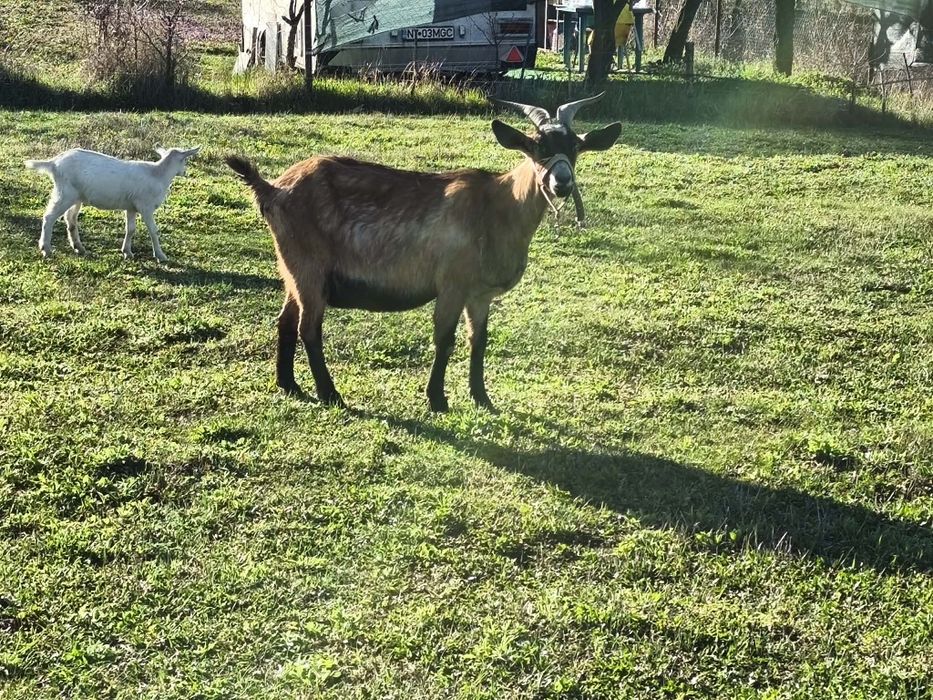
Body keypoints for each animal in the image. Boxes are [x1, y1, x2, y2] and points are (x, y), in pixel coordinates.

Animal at [24, 147, 200, 262]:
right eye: (184, 160)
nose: (185, 172)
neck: (158, 174)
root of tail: (54, 163)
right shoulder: (145, 206)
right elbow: (153, 231)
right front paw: (161, 256)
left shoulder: (131, 206)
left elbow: (131, 229)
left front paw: (127, 252)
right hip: (65, 193)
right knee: (49, 217)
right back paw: (46, 249)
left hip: (75, 196)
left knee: (70, 219)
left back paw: (78, 247)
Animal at [226, 94, 620, 412]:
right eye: (537, 146)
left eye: (575, 147)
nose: (561, 182)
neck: (497, 206)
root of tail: (273, 189)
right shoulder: (452, 284)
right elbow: (444, 340)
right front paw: (437, 400)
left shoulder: (480, 294)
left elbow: (479, 341)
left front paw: (482, 398)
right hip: (308, 267)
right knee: (309, 327)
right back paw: (329, 394)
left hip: (292, 270)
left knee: (285, 321)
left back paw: (289, 385)